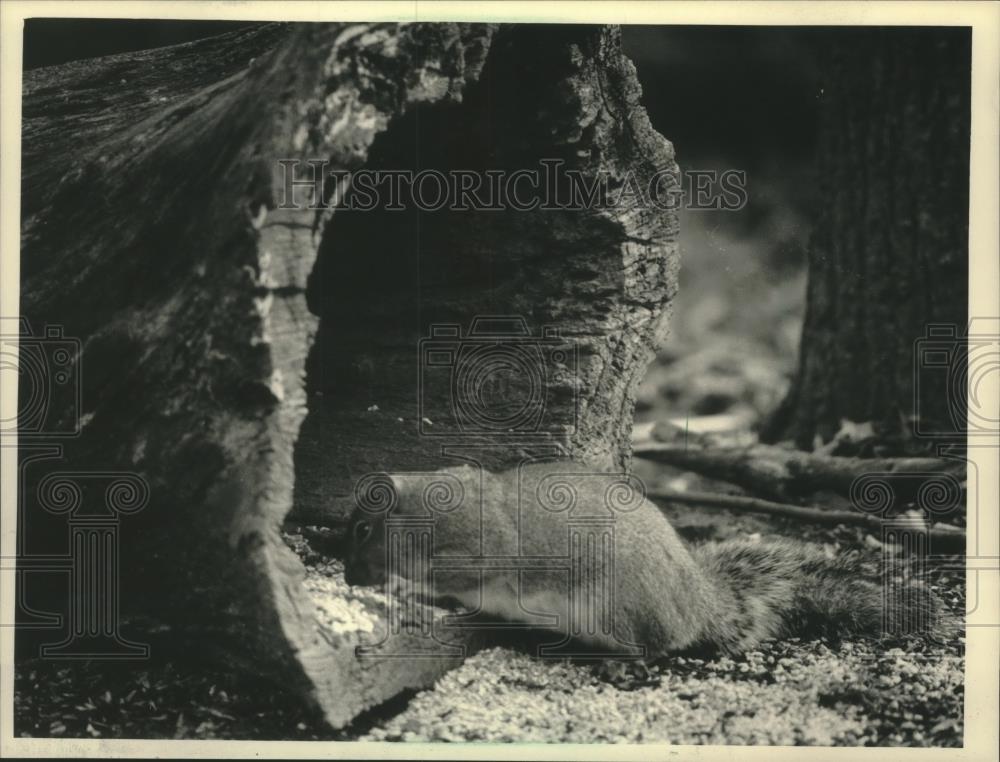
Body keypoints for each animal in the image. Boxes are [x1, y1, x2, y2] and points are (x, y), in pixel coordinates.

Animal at [346, 460, 944, 656]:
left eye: (360, 528)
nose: (350, 574)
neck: (428, 509)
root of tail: (697, 604)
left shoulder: (480, 548)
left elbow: (453, 576)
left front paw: (404, 585)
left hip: (616, 609)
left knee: (651, 651)